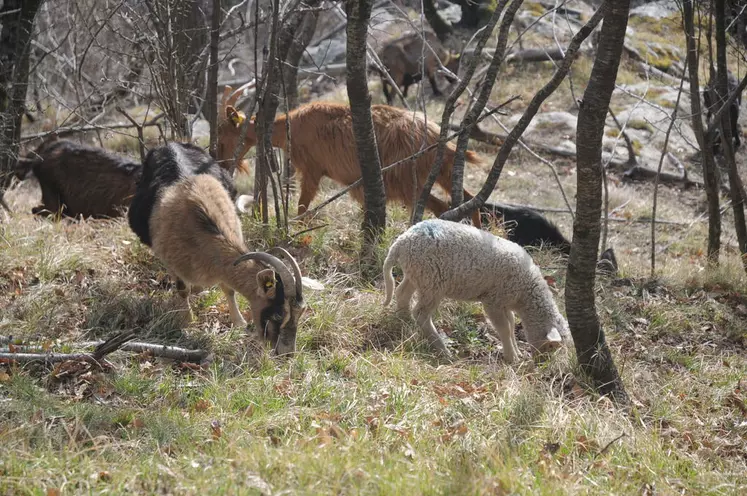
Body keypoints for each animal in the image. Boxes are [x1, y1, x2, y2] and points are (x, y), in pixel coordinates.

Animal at [216, 98, 486, 226]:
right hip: (441, 172)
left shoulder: (313, 170)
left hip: (408, 181)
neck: (291, 128)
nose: (222, 163)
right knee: (468, 199)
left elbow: (302, 208)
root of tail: (436, 136)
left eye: (223, 134)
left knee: (440, 207)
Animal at [386, 219, 572, 362]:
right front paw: (512, 358)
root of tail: (401, 241)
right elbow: (505, 328)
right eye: (550, 346)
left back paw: (403, 320)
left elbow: (512, 323)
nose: (542, 364)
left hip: (416, 274)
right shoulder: (493, 301)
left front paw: (517, 351)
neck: (524, 294)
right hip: (432, 281)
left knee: (402, 293)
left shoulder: (504, 301)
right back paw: (442, 349)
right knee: (421, 314)